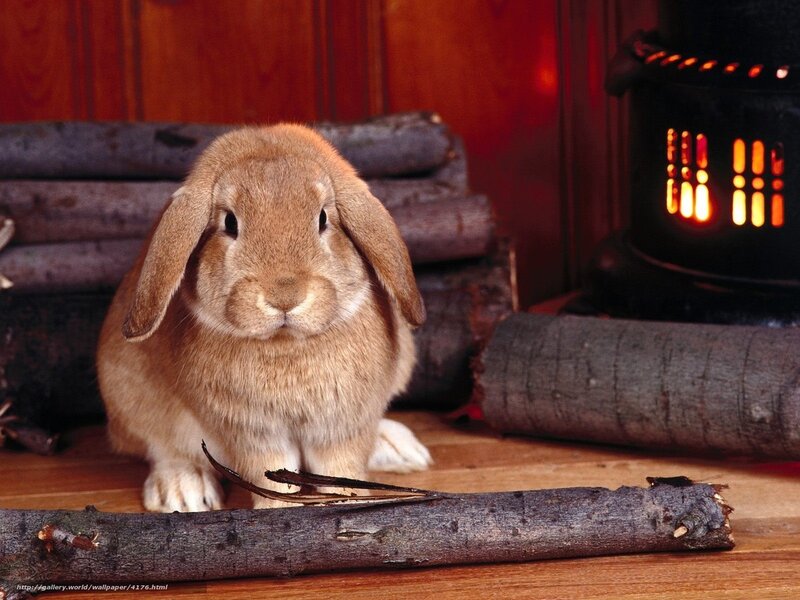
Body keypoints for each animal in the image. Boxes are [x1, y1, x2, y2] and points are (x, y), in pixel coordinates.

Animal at [96, 123, 432, 512]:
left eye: (323, 218)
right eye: (229, 222)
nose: (285, 296)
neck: (286, 344)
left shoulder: (343, 426)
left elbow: (340, 468)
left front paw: (348, 504)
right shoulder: (251, 432)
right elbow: (270, 474)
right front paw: (278, 511)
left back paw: (399, 448)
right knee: (163, 448)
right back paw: (183, 492)